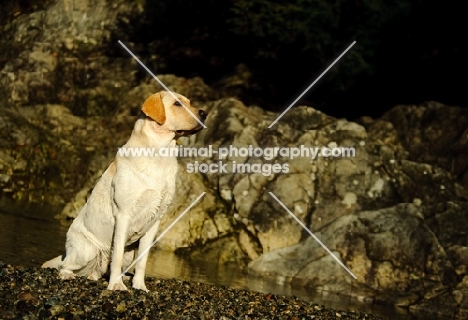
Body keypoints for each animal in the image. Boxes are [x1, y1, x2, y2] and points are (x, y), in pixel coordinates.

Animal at [42, 91, 207, 292]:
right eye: (177, 104)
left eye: (189, 102)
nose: (204, 113)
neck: (160, 155)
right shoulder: (123, 215)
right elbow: (117, 256)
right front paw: (116, 285)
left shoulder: (155, 221)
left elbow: (142, 261)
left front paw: (140, 286)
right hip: (86, 251)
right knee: (64, 265)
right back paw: (68, 275)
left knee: (98, 273)